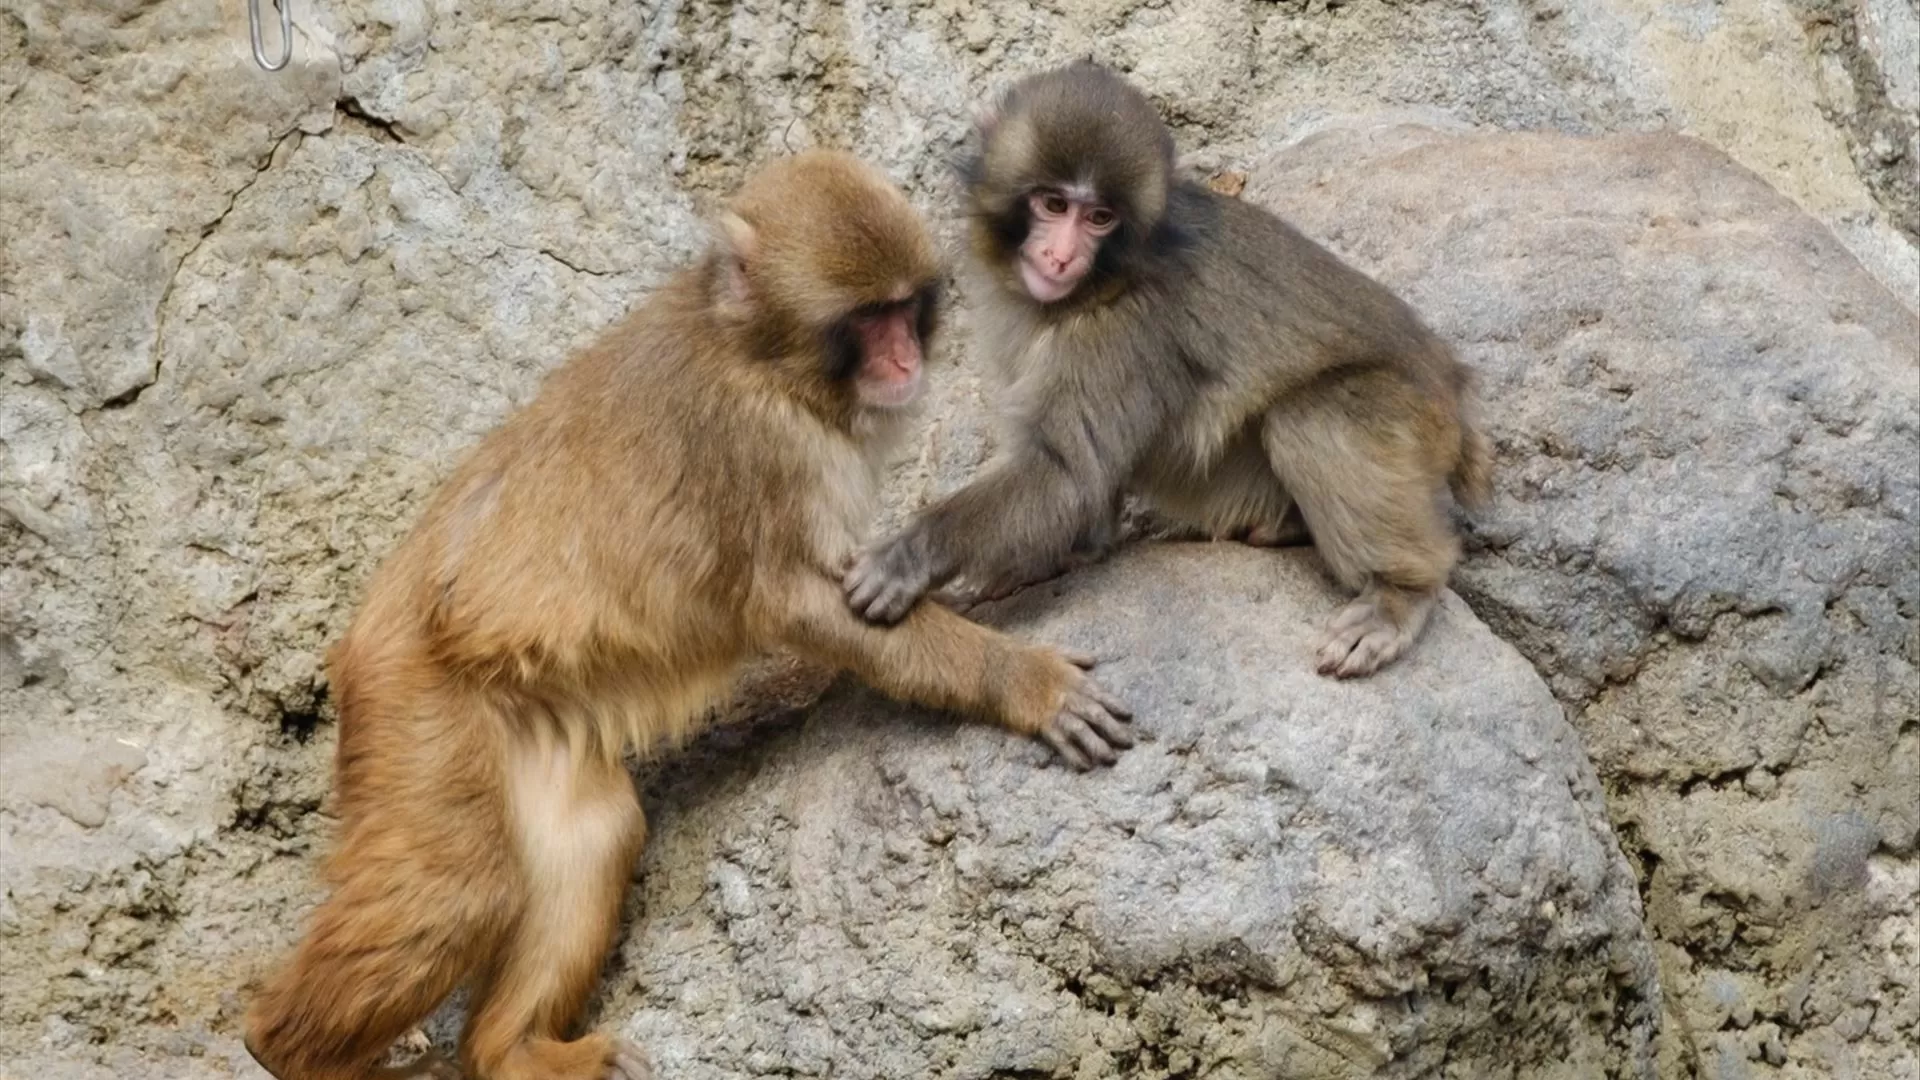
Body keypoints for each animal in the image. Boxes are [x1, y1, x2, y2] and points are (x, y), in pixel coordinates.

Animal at [242, 150, 1133, 1080]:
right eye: (866, 319)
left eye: (902, 309)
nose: (902, 359)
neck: (762, 359)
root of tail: (369, 627)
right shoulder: (760, 448)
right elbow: (807, 604)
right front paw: (1025, 683)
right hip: (414, 702)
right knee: (460, 893)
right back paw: (286, 1047)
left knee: (591, 833)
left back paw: (511, 1052)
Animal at [844, 63, 1492, 678]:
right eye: (1053, 205)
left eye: (1100, 218)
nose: (1060, 256)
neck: (1097, 286)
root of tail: (1451, 384)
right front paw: (1063, 555)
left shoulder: (1123, 333)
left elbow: (1066, 475)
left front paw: (912, 552)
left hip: (1408, 416)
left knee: (1313, 417)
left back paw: (1400, 592)